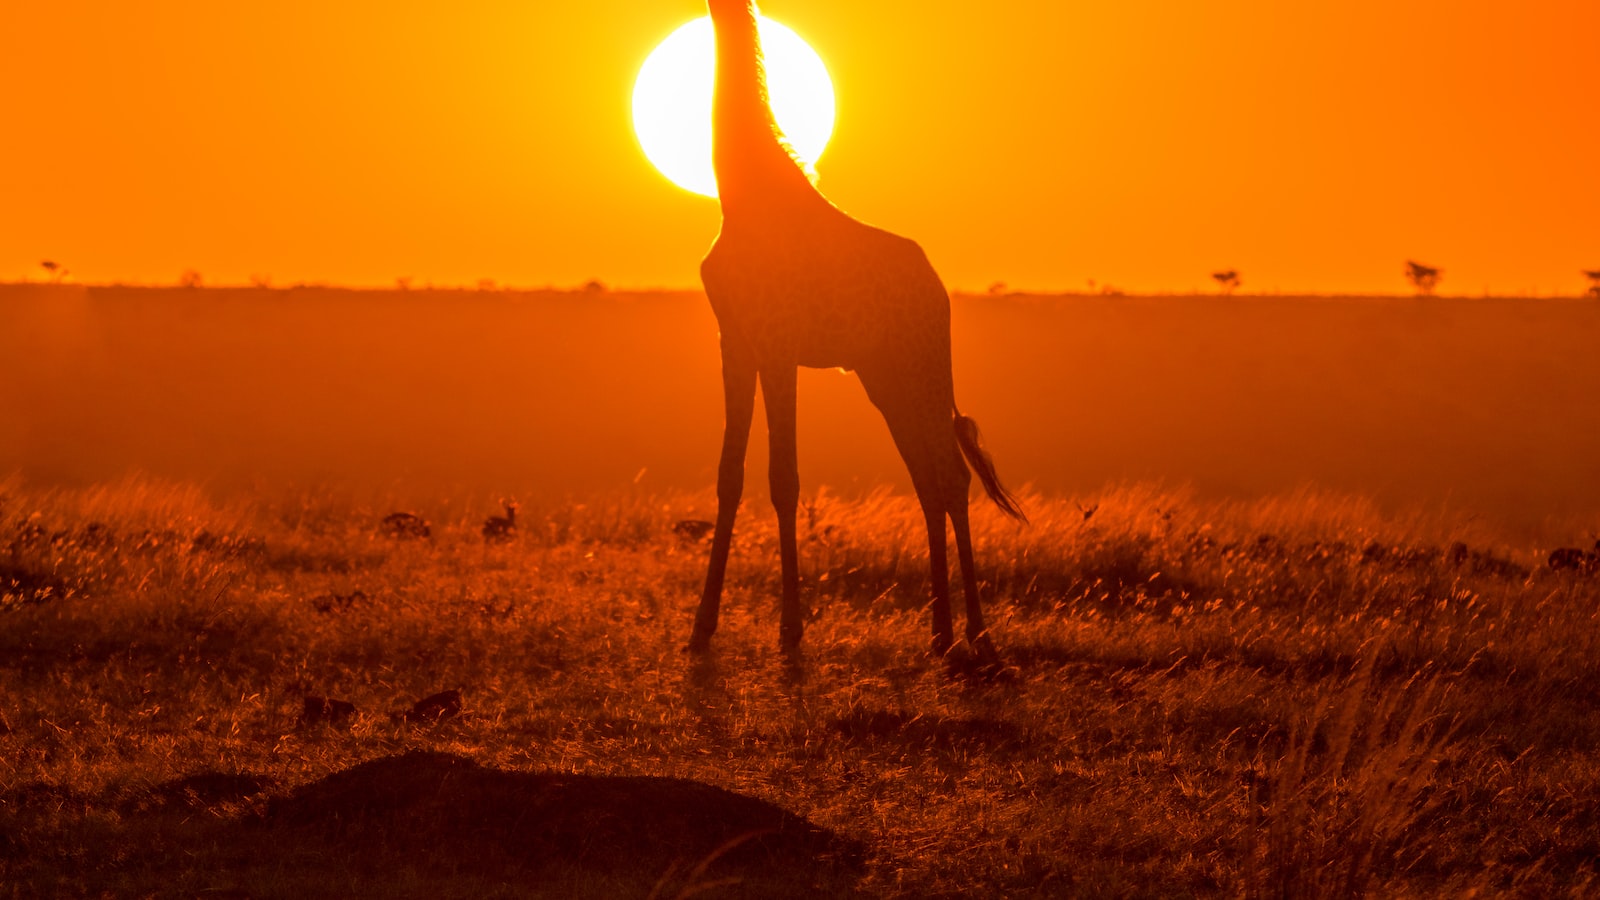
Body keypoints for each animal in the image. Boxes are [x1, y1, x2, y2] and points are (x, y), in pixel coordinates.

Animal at [691, 0, 1024, 659]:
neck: (739, 192)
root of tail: (938, 292)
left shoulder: (779, 346)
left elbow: (784, 478)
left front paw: (792, 630)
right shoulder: (734, 344)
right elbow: (728, 477)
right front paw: (701, 627)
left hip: (922, 368)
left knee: (950, 474)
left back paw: (978, 636)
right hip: (884, 378)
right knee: (929, 479)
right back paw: (941, 634)